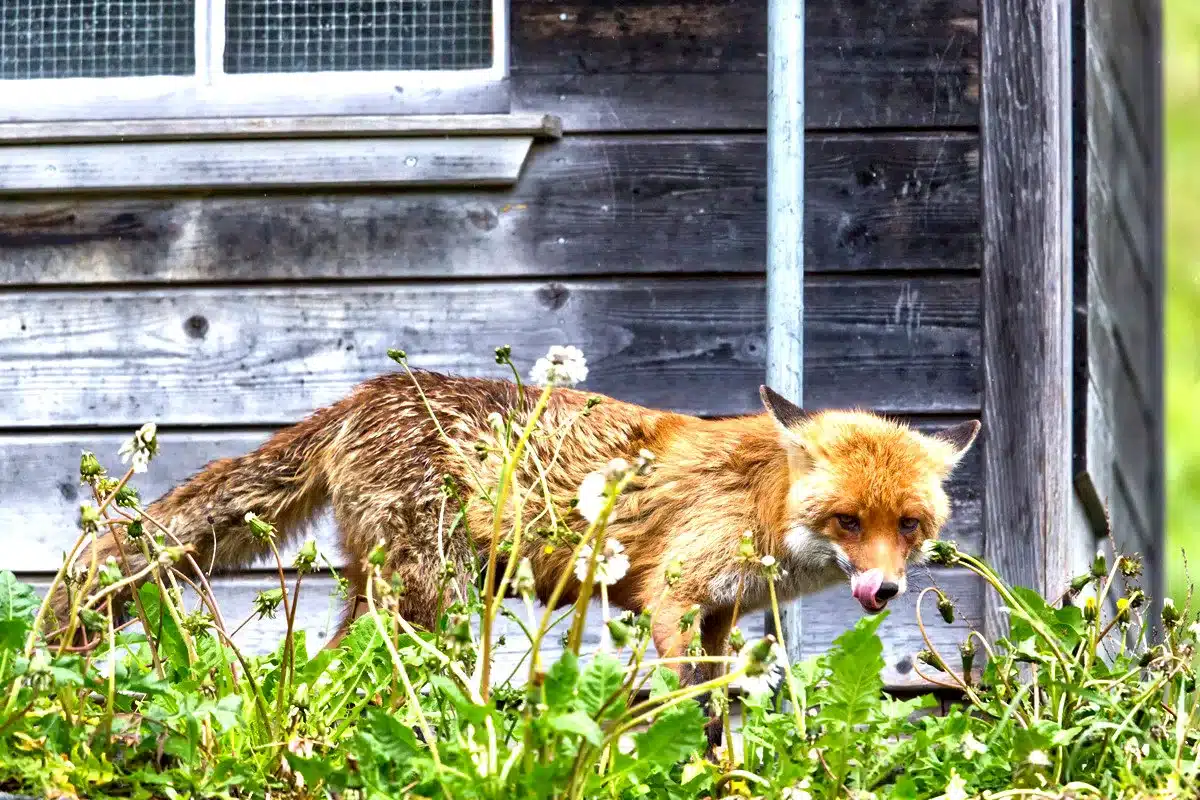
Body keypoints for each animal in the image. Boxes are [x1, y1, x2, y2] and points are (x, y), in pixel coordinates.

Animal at [54, 369, 978, 702]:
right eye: (847, 522)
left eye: (910, 526)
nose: (885, 590)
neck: (757, 502)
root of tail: (365, 393)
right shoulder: (669, 599)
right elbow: (686, 704)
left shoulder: (721, 617)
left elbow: (719, 710)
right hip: (427, 601)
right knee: (337, 678)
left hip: (398, 597)